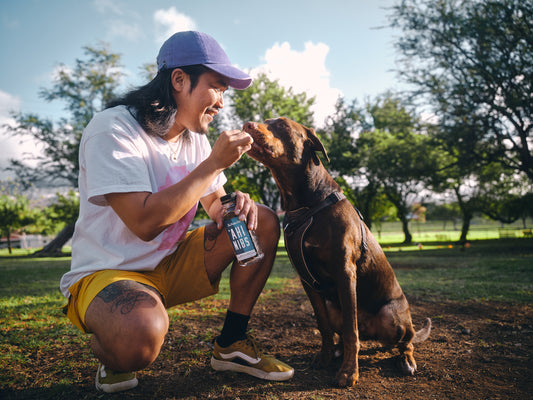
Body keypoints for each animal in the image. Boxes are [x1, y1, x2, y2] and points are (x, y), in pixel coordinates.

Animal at [243, 117, 430, 386]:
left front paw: (348, 372)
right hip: (334, 306)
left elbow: (351, 331)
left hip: (392, 315)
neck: (305, 205)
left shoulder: (345, 272)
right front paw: (325, 357)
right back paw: (339, 352)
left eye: (282, 125)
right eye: (267, 121)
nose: (247, 124)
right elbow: (323, 325)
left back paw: (406, 360)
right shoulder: (307, 280)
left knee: (406, 341)